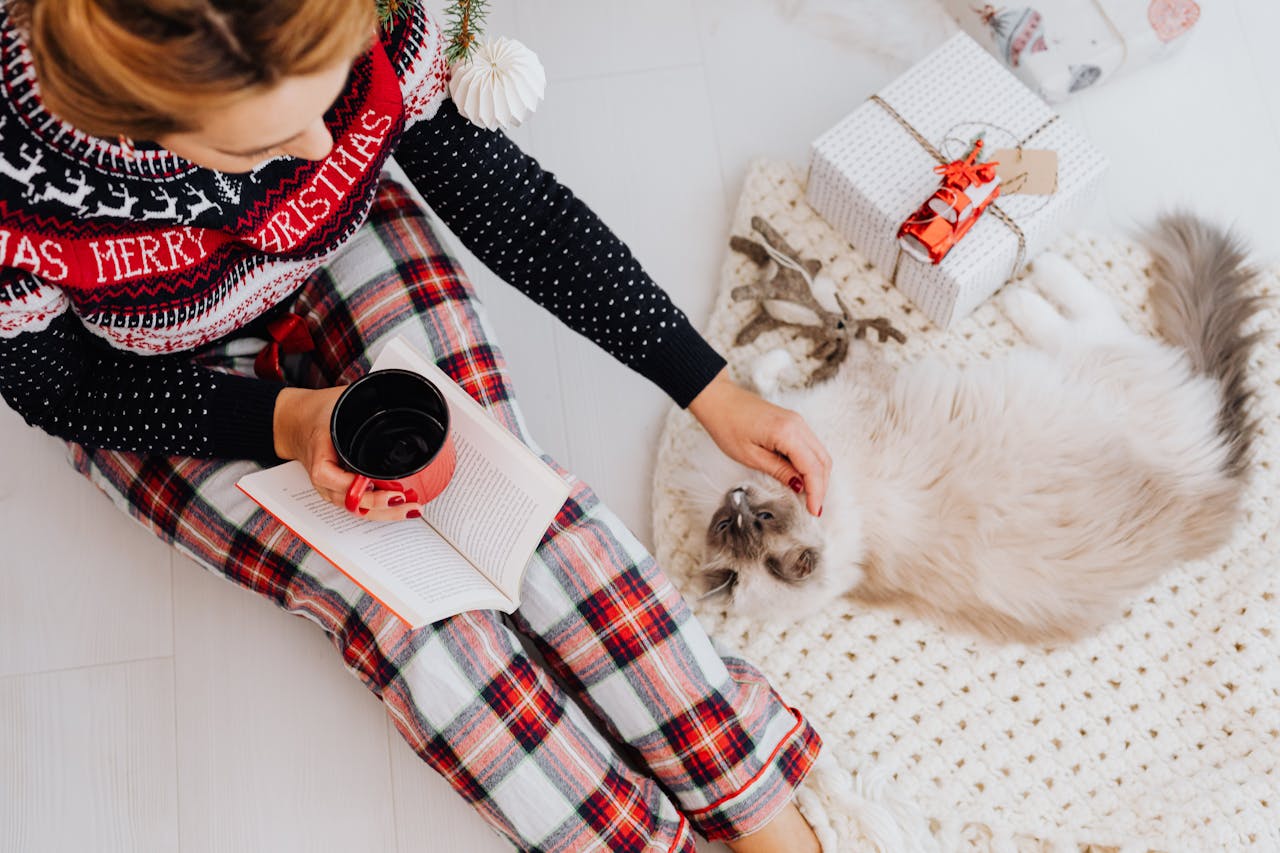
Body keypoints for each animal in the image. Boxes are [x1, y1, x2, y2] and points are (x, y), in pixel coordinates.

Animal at [686, 216, 1264, 640]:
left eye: (755, 518)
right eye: (731, 524)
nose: (737, 500)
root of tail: (1209, 489)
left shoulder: (828, 405)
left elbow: (773, 375)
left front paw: (798, 349)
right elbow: (775, 381)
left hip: (1088, 362)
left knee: (1093, 315)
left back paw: (1030, 282)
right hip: (1086, 363)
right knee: (1090, 317)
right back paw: (1028, 288)